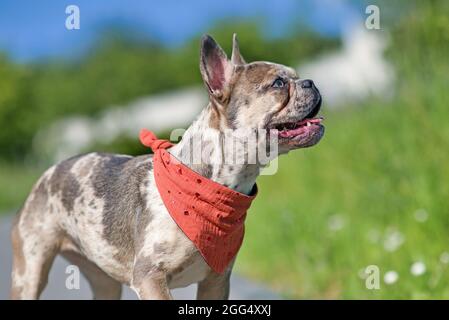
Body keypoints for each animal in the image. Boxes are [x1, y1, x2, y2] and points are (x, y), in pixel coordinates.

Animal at [9, 33, 322, 298]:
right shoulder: (150, 277)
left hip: (104, 280)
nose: (310, 81)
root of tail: (48, 174)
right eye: (278, 84)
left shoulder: (216, 281)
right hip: (30, 273)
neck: (213, 187)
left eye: (295, 76)